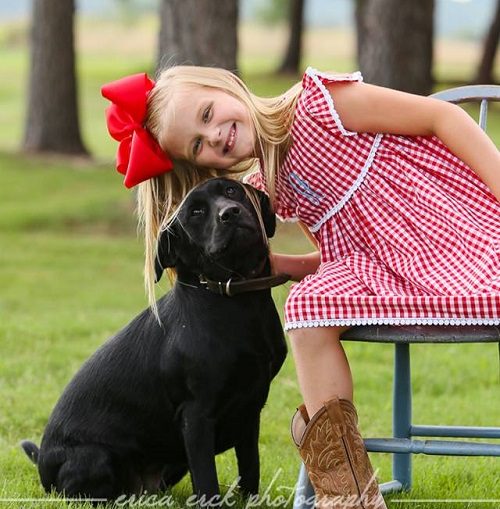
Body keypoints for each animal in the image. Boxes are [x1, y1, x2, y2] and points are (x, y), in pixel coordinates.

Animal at [21, 177, 287, 503]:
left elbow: (251, 469)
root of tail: (42, 464)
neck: (234, 300)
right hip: (94, 459)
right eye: (195, 212)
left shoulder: (250, 410)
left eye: (231, 191)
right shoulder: (196, 415)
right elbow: (207, 481)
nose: (230, 214)